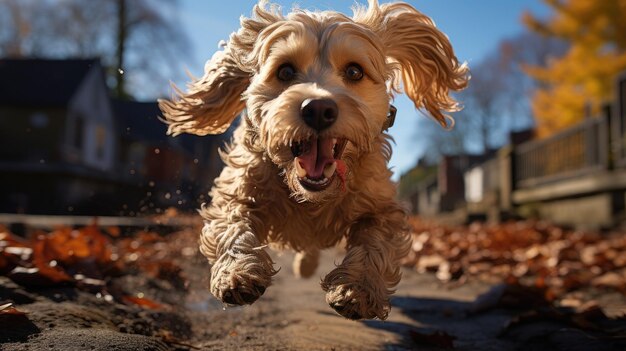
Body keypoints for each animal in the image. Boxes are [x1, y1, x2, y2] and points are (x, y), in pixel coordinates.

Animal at [158, 0, 466, 322]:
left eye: (354, 71)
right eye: (285, 70)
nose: (318, 109)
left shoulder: (379, 204)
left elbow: (376, 241)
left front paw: (358, 288)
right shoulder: (240, 188)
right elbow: (234, 224)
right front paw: (237, 273)